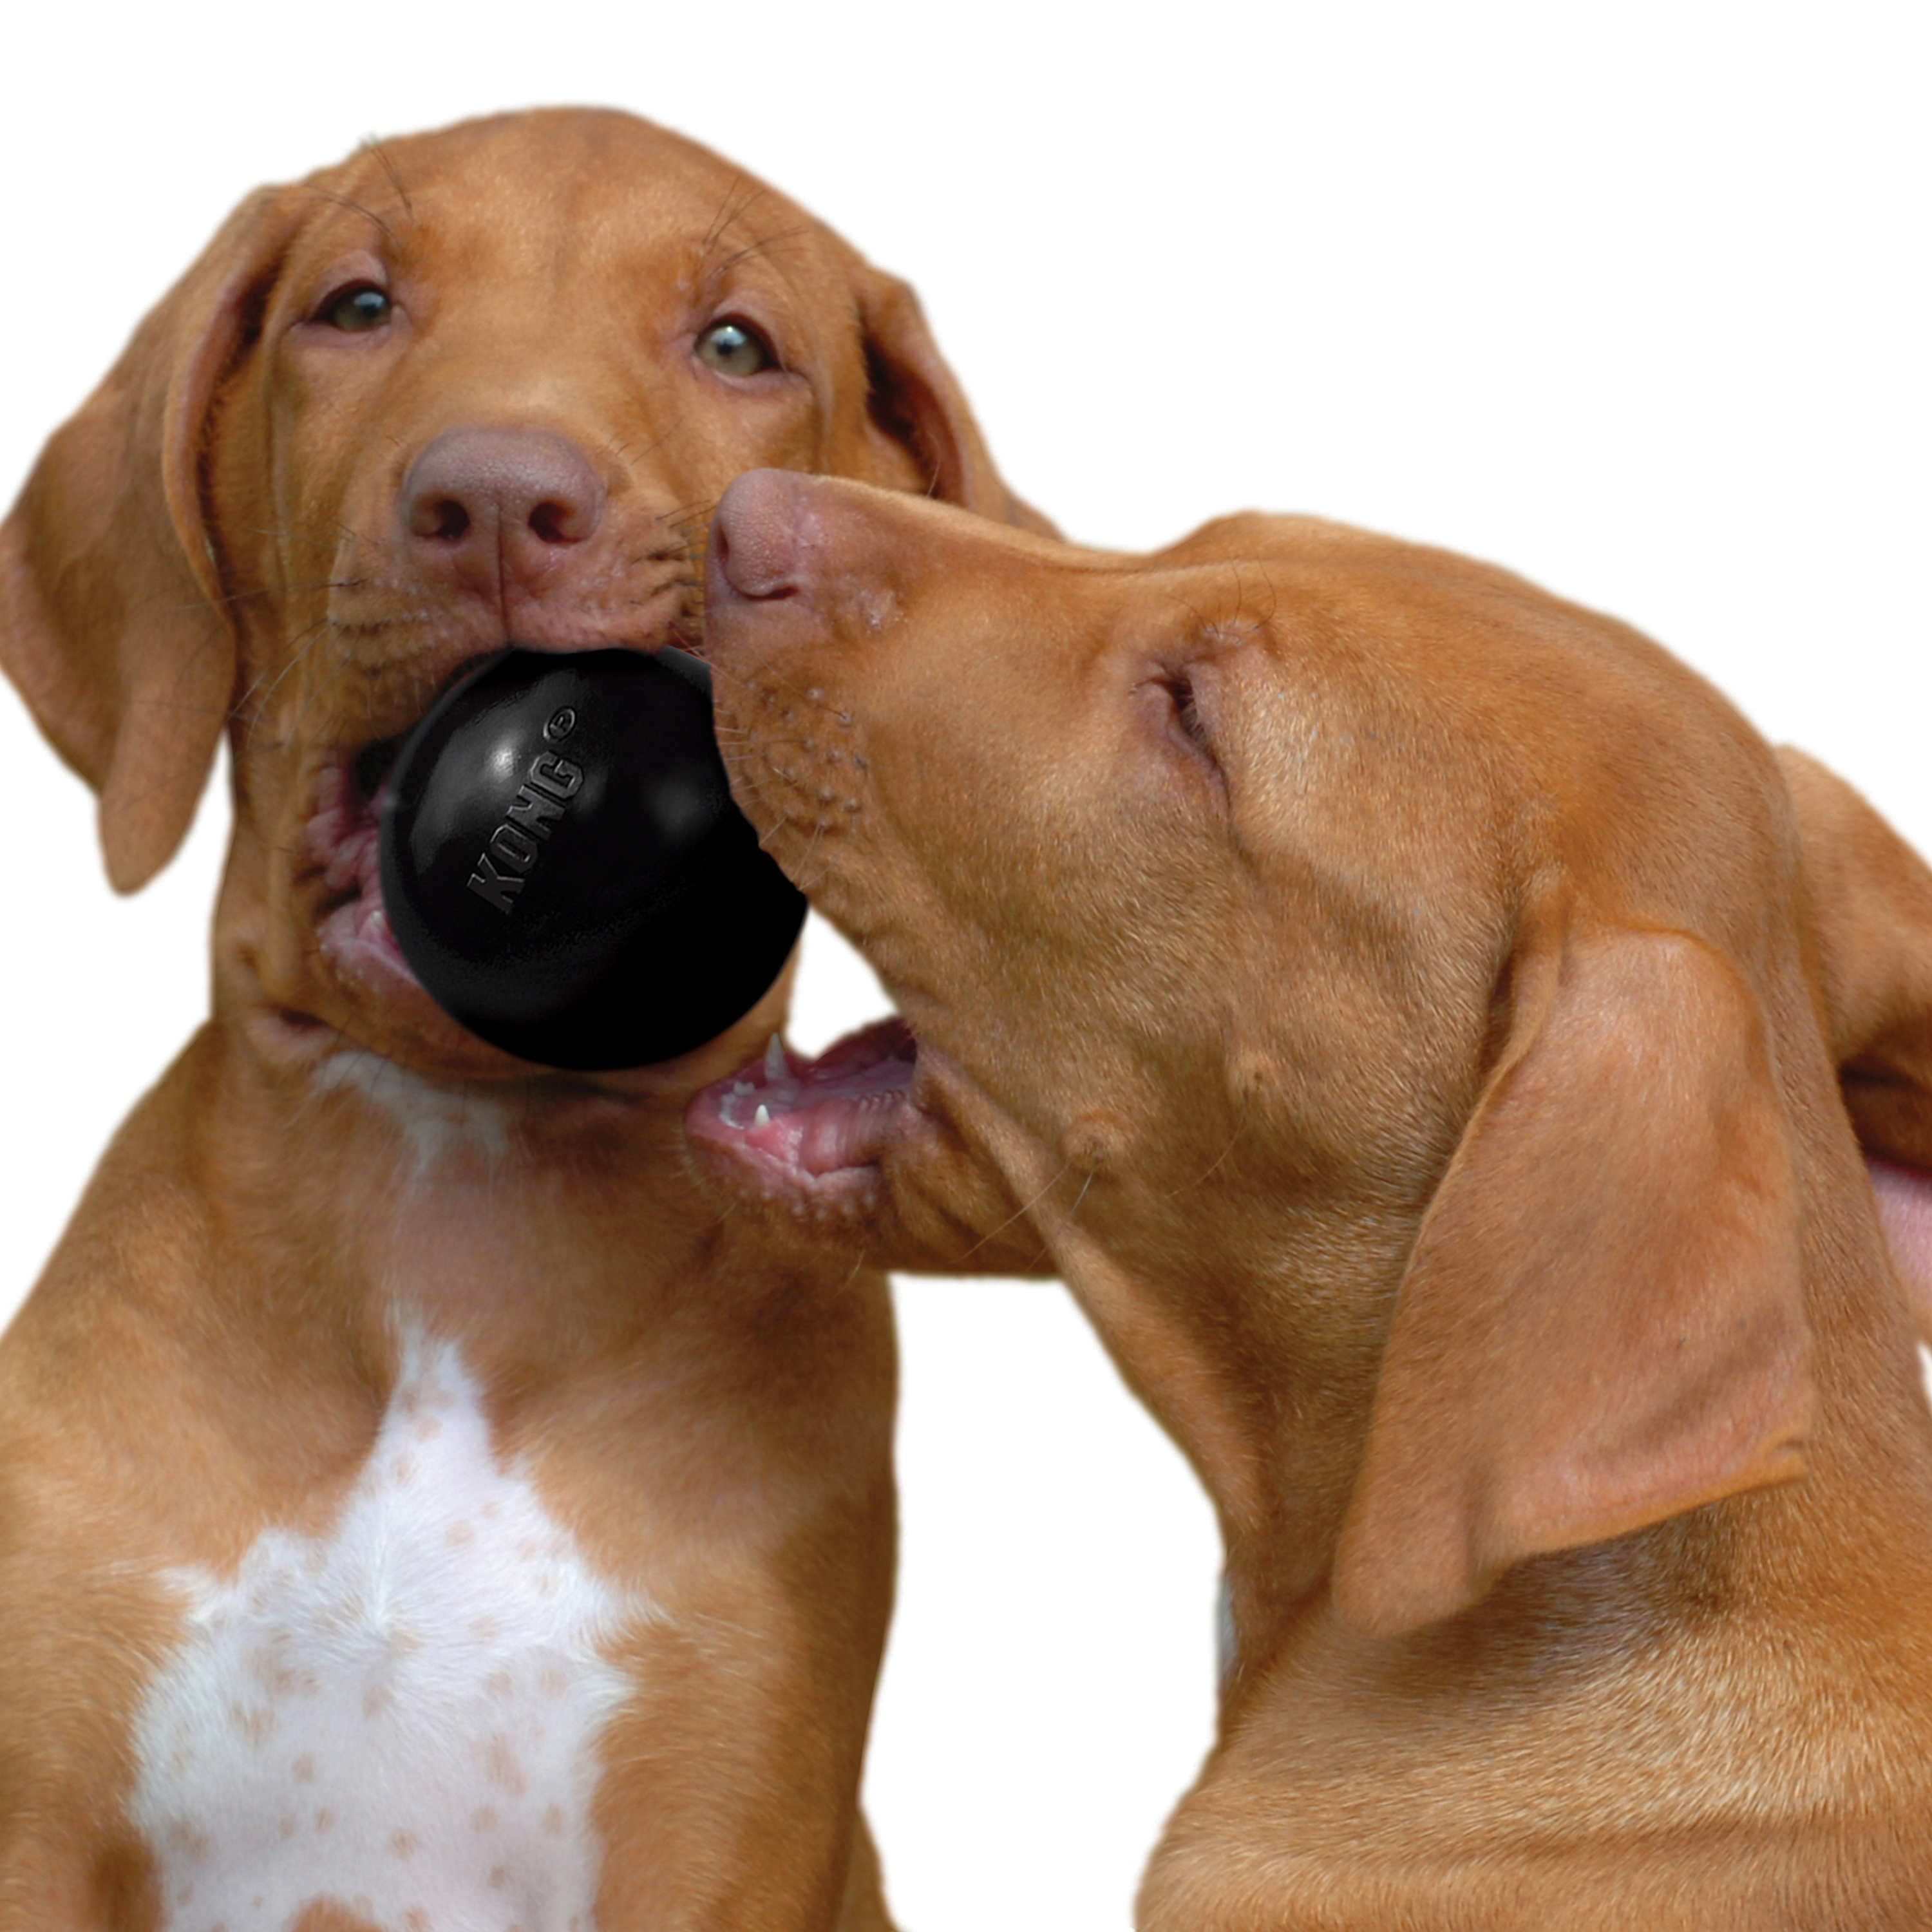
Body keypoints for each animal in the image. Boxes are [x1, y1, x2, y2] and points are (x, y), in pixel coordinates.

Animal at [0, 109, 1051, 1932]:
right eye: (354, 306)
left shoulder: (718, 1839)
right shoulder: (38, 1825)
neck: (454, 1196)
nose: (494, 501)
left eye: (735, 348)